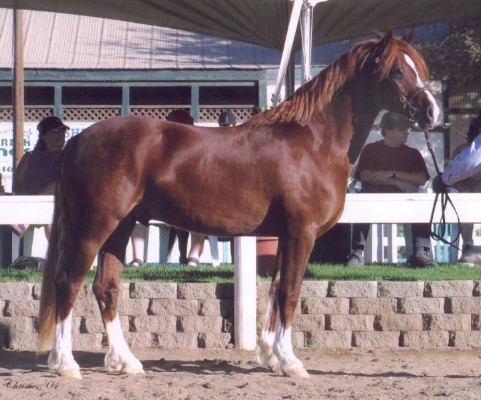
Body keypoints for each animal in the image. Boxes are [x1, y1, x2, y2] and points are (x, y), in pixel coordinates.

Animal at [39, 29, 438, 380]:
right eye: (397, 70)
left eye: (419, 66)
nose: (431, 112)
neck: (314, 141)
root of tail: (78, 141)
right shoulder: (302, 234)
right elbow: (290, 294)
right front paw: (291, 363)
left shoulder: (285, 237)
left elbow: (276, 291)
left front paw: (271, 356)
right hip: (94, 227)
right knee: (68, 283)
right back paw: (66, 364)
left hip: (120, 228)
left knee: (106, 288)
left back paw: (125, 362)